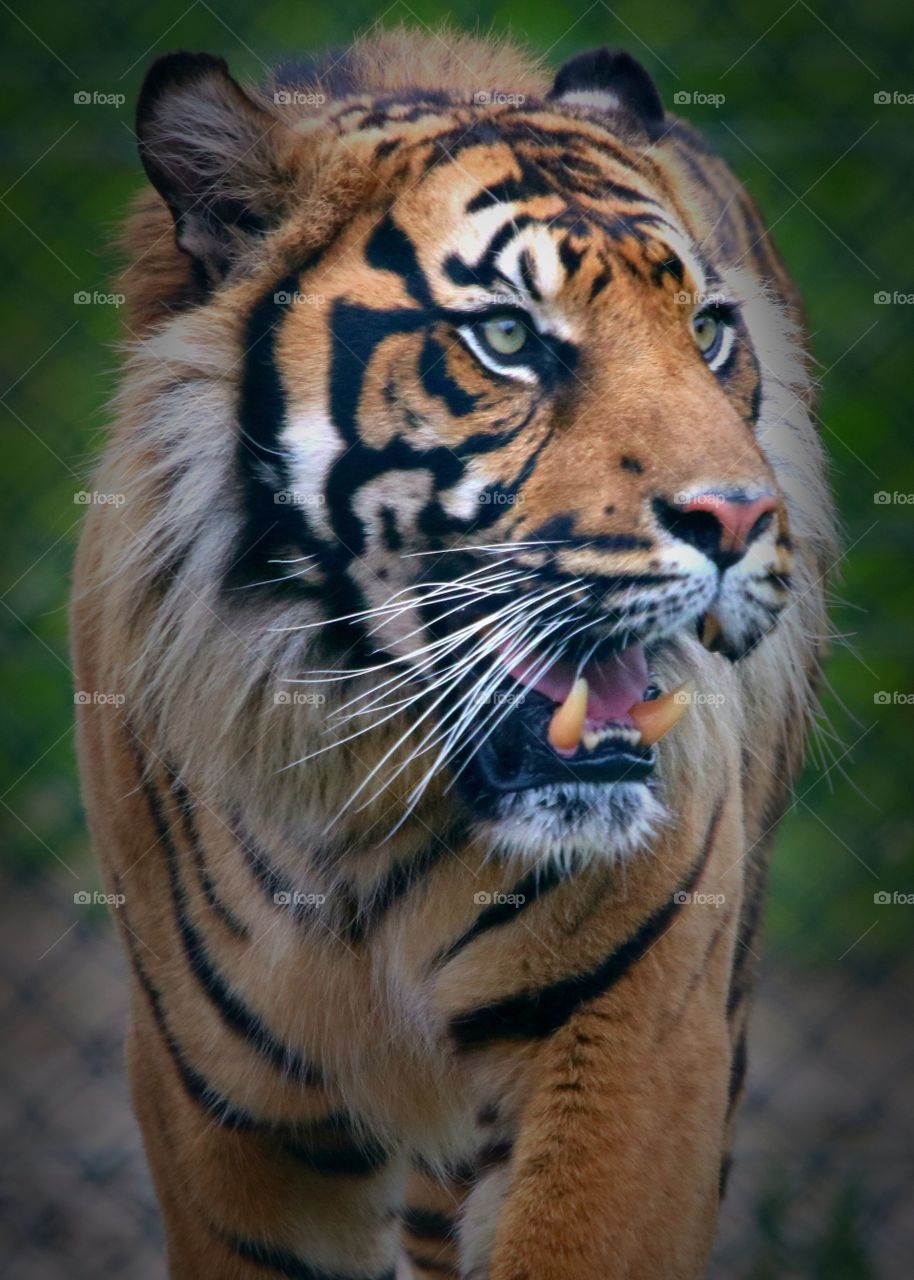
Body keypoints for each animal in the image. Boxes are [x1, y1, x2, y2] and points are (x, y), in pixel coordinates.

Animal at [71, 27, 835, 1280]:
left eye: (705, 331)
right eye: (508, 337)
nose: (737, 517)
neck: (359, 816)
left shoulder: (634, 1054)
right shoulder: (219, 1112)